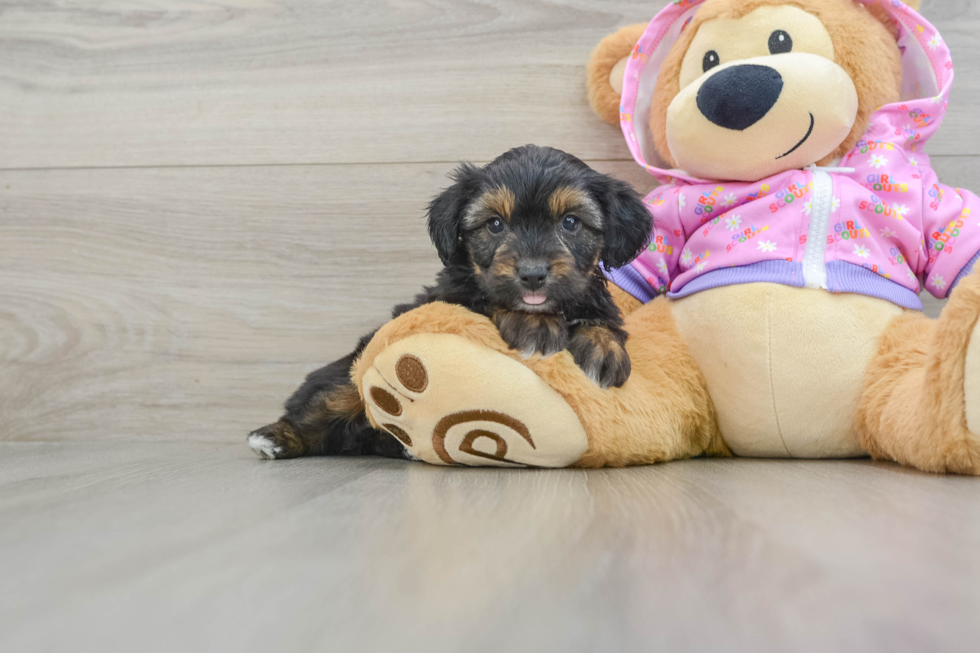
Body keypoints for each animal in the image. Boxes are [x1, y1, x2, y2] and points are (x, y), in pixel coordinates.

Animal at [249, 145, 656, 458]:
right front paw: (535, 324)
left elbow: (603, 321)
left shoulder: (593, 298)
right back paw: (275, 437)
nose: (533, 273)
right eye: (495, 225)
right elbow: (487, 300)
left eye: (570, 223)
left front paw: (603, 349)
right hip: (348, 376)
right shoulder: (452, 297)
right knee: (327, 403)